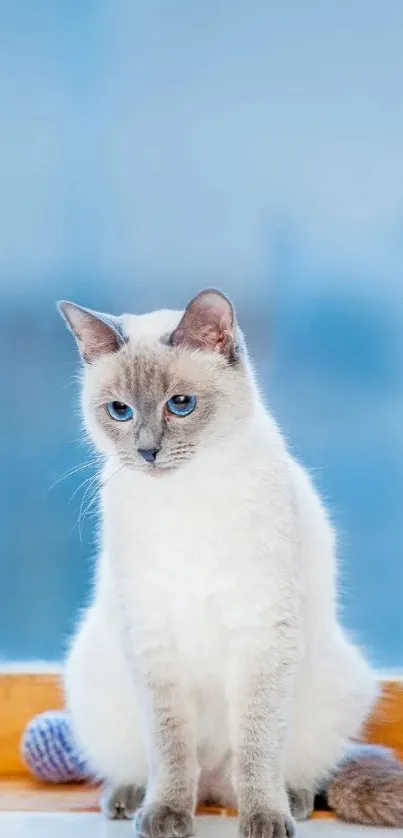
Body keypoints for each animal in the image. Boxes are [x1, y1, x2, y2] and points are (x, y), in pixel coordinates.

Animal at [60, 292, 386, 836]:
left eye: (181, 404)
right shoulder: (154, 638)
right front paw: (167, 815)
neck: (186, 495)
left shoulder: (261, 633)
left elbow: (256, 749)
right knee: (161, 768)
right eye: (120, 411)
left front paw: (265, 819)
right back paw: (131, 800)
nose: (147, 452)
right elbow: (171, 750)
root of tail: (212, 793)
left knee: (270, 772)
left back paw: (289, 801)